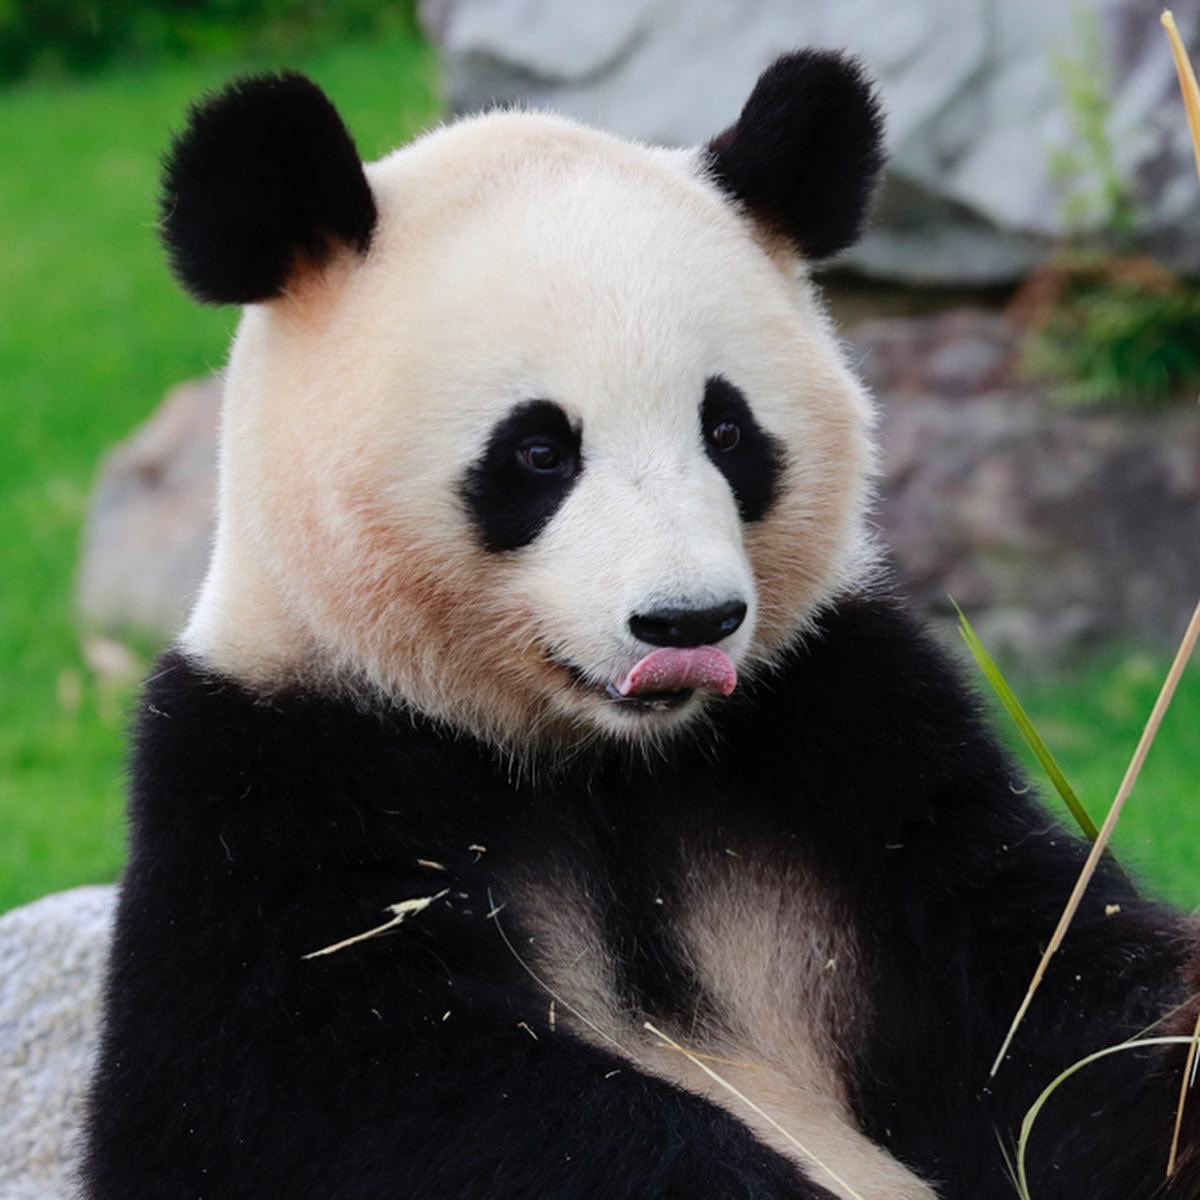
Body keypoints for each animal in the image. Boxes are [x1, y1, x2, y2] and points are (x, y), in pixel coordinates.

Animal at [83, 51, 1199, 1200]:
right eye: (538, 452)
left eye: (728, 430)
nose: (687, 620)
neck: (606, 765)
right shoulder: (278, 782)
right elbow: (336, 1090)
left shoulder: (851, 732)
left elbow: (1044, 980)